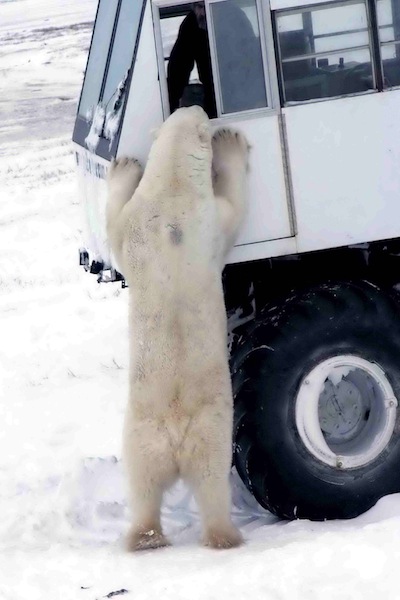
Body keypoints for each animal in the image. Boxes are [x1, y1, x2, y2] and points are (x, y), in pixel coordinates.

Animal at [108, 106, 248, 548]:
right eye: (192, 110)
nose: (199, 105)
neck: (172, 191)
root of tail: (175, 437)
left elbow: (115, 229)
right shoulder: (198, 219)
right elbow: (234, 206)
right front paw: (230, 141)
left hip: (150, 435)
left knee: (147, 483)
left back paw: (148, 536)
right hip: (199, 430)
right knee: (205, 482)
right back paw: (218, 535)